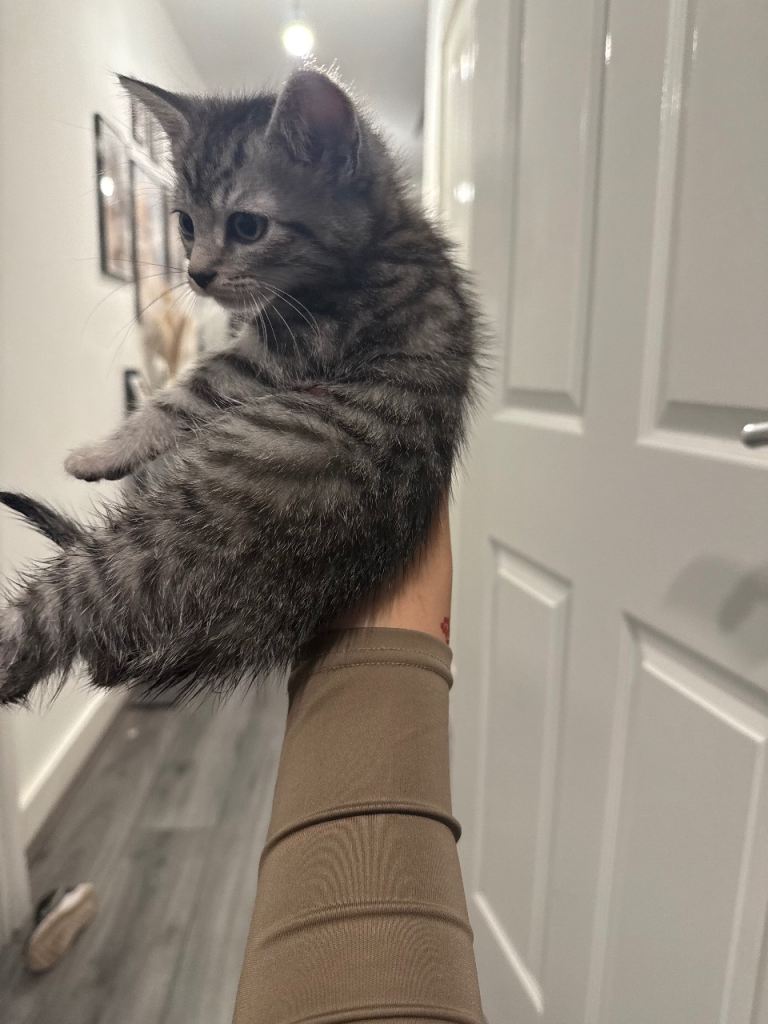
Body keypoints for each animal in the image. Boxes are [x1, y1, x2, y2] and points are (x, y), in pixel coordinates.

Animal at [0, 68, 482, 706]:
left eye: (247, 226)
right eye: (184, 224)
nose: (196, 273)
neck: (385, 233)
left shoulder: (281, 351)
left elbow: (184, 394)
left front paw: (101, 452)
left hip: (135, 553)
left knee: (38, 630)